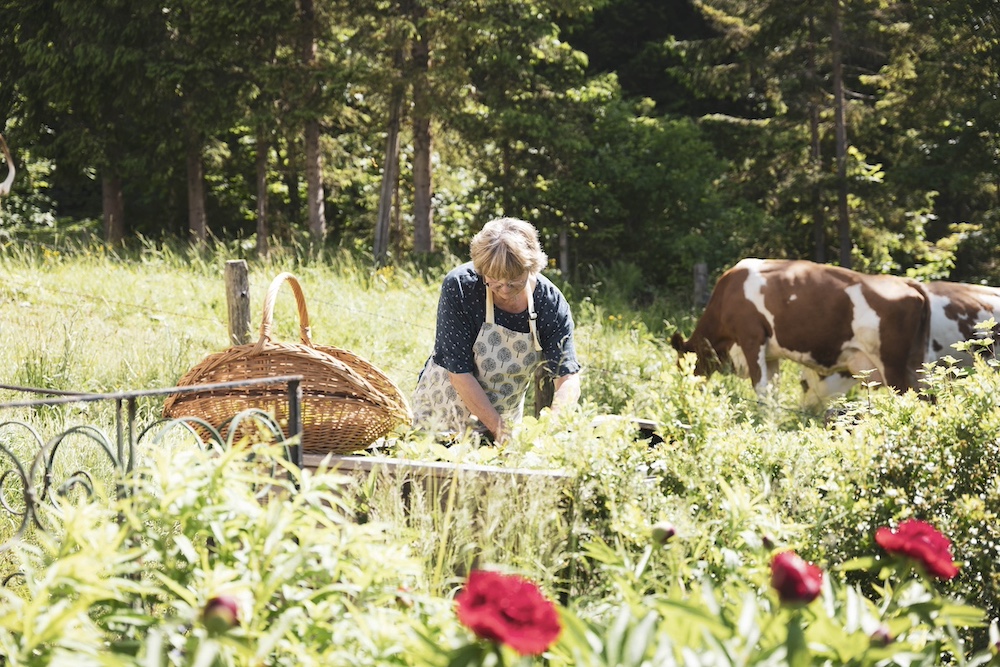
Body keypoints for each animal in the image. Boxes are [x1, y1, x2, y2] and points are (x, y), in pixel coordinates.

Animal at [672, 260, 928, 408]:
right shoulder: (770, 354)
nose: (685, 394)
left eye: (682, 364)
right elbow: (772, 390)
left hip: (891, 365)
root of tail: (906, 282)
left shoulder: (751, 338)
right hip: (915, 367)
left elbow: (760, 387)